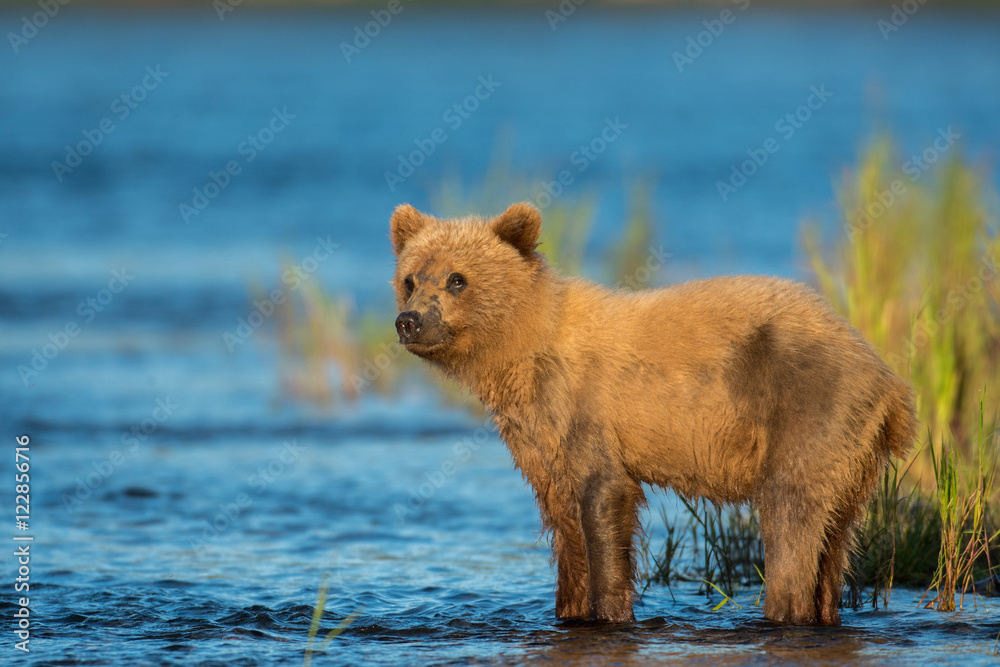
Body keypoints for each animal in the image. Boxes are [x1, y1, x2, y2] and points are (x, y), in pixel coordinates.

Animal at [388, 201, 917, 626]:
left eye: (457, 279)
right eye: (409, 280)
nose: (409, 321)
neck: (524, 351)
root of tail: (887, 379)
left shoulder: (588, 411)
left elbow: (603, 501)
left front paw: (610, 612)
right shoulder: (540, 439)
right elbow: (565, 523)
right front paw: (570, 608)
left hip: (806, 409)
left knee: (791, 518)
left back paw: (786, 611)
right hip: (852, 454)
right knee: (835, 537)